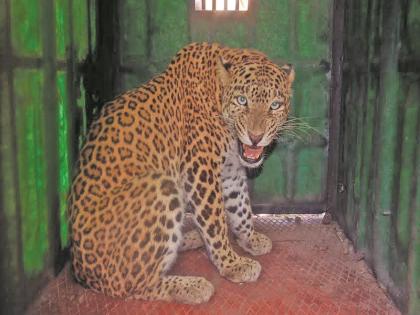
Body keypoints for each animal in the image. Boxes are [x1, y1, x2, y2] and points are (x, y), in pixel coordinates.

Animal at [69, 40, 294, 304]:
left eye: (275, 105)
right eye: (241, 101)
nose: (255, 137)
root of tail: (80, 271)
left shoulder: (230, 172)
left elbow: (240, 207)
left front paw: (249, 238)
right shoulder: (200, 169)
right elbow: (215, 222)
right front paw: (231, 264)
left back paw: (191, 238)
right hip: (161, 187)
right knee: (133, 284)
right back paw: (191, 286)